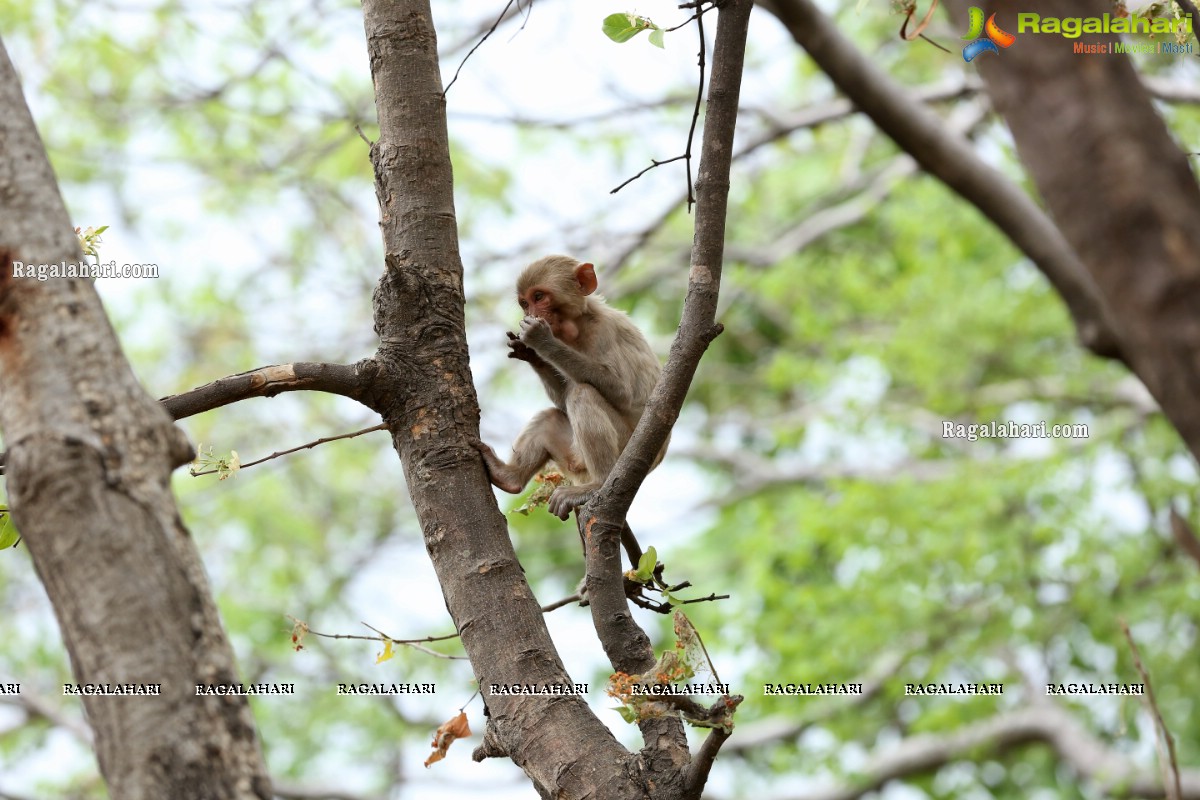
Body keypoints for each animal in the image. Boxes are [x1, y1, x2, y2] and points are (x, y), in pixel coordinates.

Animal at [472, 253, 672, 561]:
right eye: (524, 302)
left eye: (539, 296)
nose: (532, 312)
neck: (577, 325)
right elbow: (560, 402)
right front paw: (532, 354)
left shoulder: (604, 330)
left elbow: (622, 391)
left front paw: (541, 341)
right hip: (572, 457)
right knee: (551, 415)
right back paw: (508, 477)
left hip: (626, 447)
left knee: (583, 394)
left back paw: (599, 484)